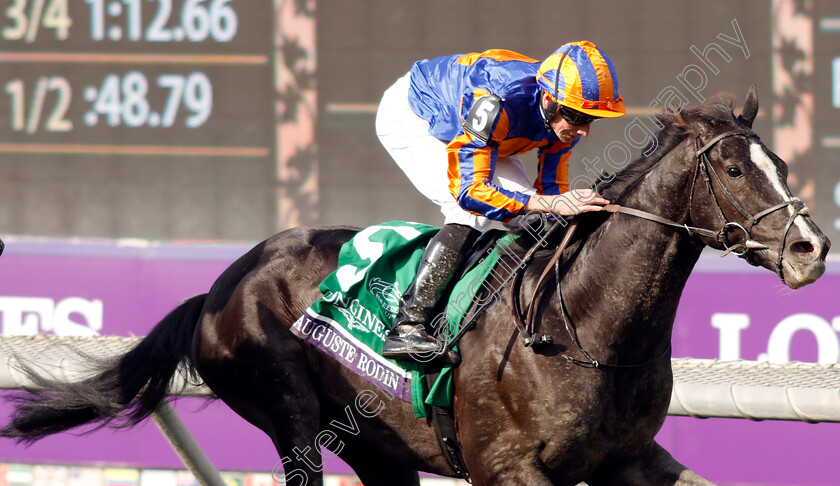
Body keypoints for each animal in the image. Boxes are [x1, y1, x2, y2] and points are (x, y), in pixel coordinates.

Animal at [0, 88, 832, 486]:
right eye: (735, 169)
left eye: (783, 164)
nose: (811, 248)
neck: (585, 327)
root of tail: (218, 286)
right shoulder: (507, 469)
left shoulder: (627, 461)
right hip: (290, 417)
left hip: (381, 449)